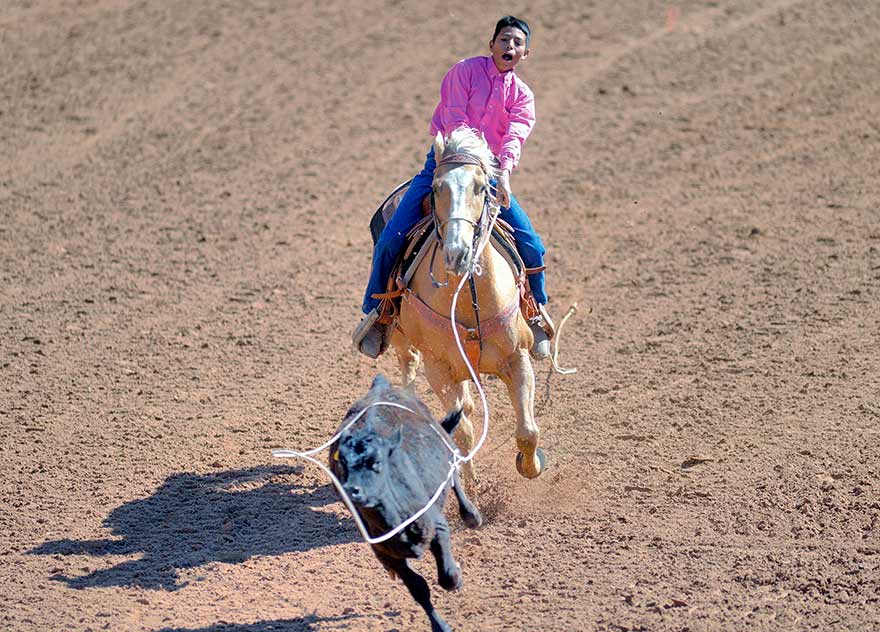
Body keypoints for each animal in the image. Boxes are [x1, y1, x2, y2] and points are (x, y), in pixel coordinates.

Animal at [390, 128, 548, 484]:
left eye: (481, 186)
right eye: (437, 187)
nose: (456, 253)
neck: (467, 298)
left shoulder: (517, 356)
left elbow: (528, 431)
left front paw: (530, 465)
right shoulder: (437, 368)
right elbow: (462, 432)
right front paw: (471, 485)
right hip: (400, 338)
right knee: (409, 367)